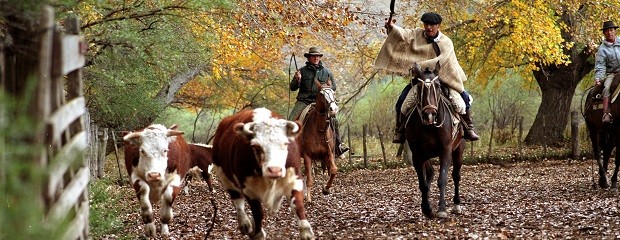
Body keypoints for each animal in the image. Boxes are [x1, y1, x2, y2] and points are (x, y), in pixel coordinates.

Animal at [213, 108, 318, 240]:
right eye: (256, 146)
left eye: (285, 144)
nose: (275, 170)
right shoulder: (248, 189)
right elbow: (258, 212)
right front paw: (258, 233)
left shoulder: (294, 179)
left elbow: (297, 204)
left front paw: (306, 232)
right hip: (225, 177)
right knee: (238, 201)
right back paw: (245, 224)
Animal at [404, 62, 462, 218]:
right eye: (419, 86)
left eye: (437, 85)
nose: (429, 114)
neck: (430, 127)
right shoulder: (417, 155)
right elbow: (422, 183)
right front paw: (426, 208)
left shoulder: (445, 151)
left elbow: (442, 179)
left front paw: (442, 209)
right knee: (430, 173)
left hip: (459, 149)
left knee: (456, 175)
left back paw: (457, 204)